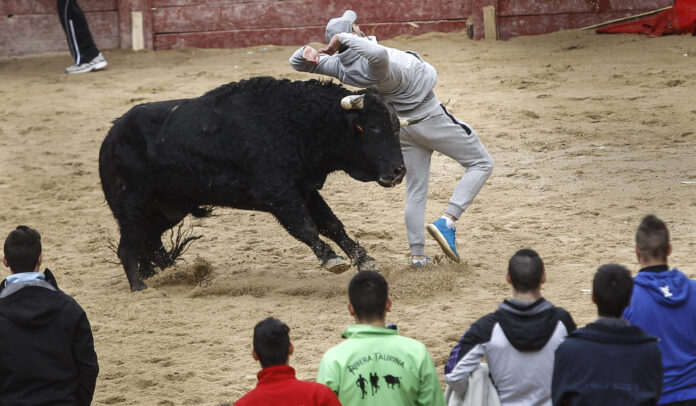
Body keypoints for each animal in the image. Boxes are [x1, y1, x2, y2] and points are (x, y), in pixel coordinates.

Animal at [100, 77, 410, 292]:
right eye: (373, 128)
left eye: (396, 128)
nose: (398, 172)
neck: (297, 121)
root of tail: (111, 135)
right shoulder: (278, 194)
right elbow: (305, 226)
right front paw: (331, 260)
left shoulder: (305, 190)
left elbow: (332, 224)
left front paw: (364, 259)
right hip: (131, 206)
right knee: (129, 245)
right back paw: (140, 285)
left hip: (169, 208)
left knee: (150, 241)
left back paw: (169, 274)